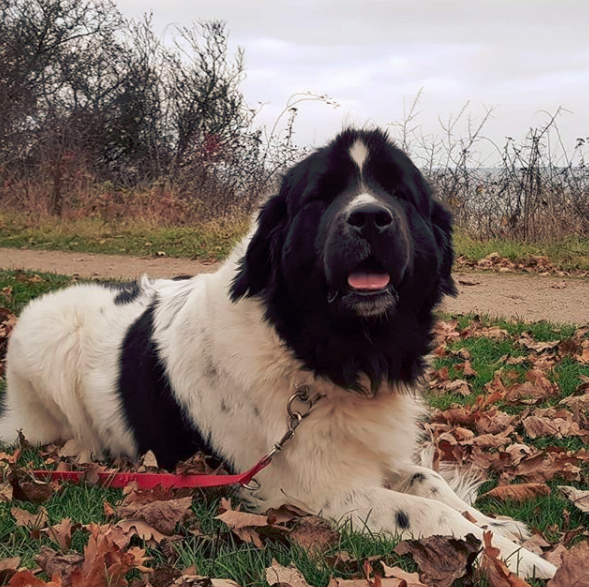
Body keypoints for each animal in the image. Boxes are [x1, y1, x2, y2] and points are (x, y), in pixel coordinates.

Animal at [0, 130, 552, 580]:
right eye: (322, 195)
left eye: (399, 193)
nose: (370, 218)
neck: (317, 351)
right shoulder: (316, 493)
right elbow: (431, 513)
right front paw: (529, 563)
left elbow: (434, 484)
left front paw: (498, 525)